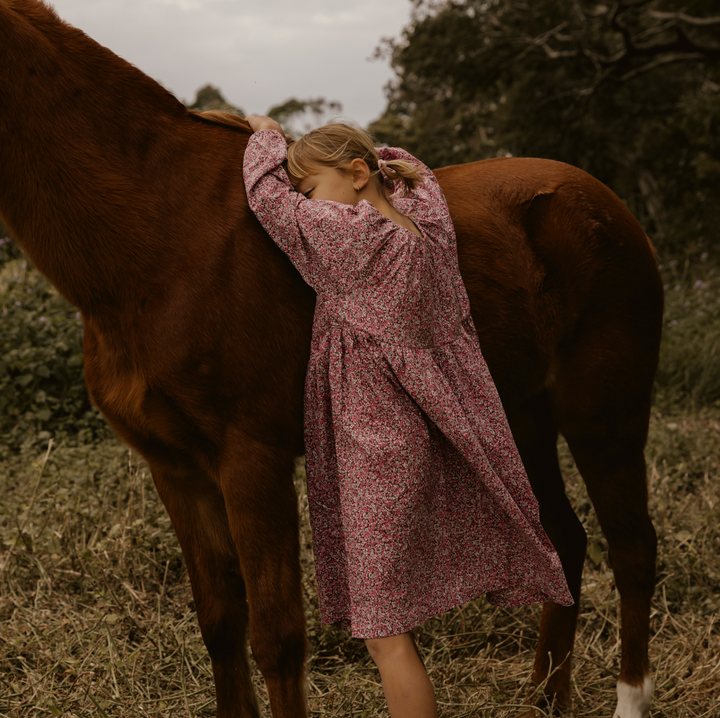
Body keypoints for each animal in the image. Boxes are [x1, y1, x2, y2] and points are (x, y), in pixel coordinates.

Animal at [0, 2, 664, 716]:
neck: (162, 239)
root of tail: (610, 206)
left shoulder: (250, 461)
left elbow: (277, 637)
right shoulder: (175, 468)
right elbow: (220, 622)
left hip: (605, 416)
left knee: (632, 550)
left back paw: (627, 697)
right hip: (522, 418)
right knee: (565, 541)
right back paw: (544, 696)